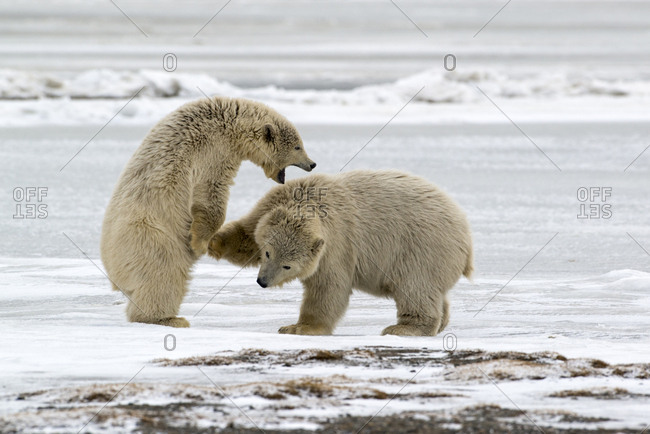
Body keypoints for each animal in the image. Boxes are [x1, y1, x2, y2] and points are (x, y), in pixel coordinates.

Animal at [100, 96, 316, 328]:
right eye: (298, 146)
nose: (313, 164)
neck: (229, 124)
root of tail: (112, 270)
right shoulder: (213, 151)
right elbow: (210, 192)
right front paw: (199, 243)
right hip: (149, 237)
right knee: (162, 273)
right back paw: (167, 318)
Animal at [208, 170, 473, 336]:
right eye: (267, 254)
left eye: (287, 266)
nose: (262, 281)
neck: (312, 199)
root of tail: (466, 233)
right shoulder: (273, 203)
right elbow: (247, 233)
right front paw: (213, 242)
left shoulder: (336, 244)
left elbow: (328, 287)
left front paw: (298, 327)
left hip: (421, 247)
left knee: (415, 288)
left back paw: (403, 328)